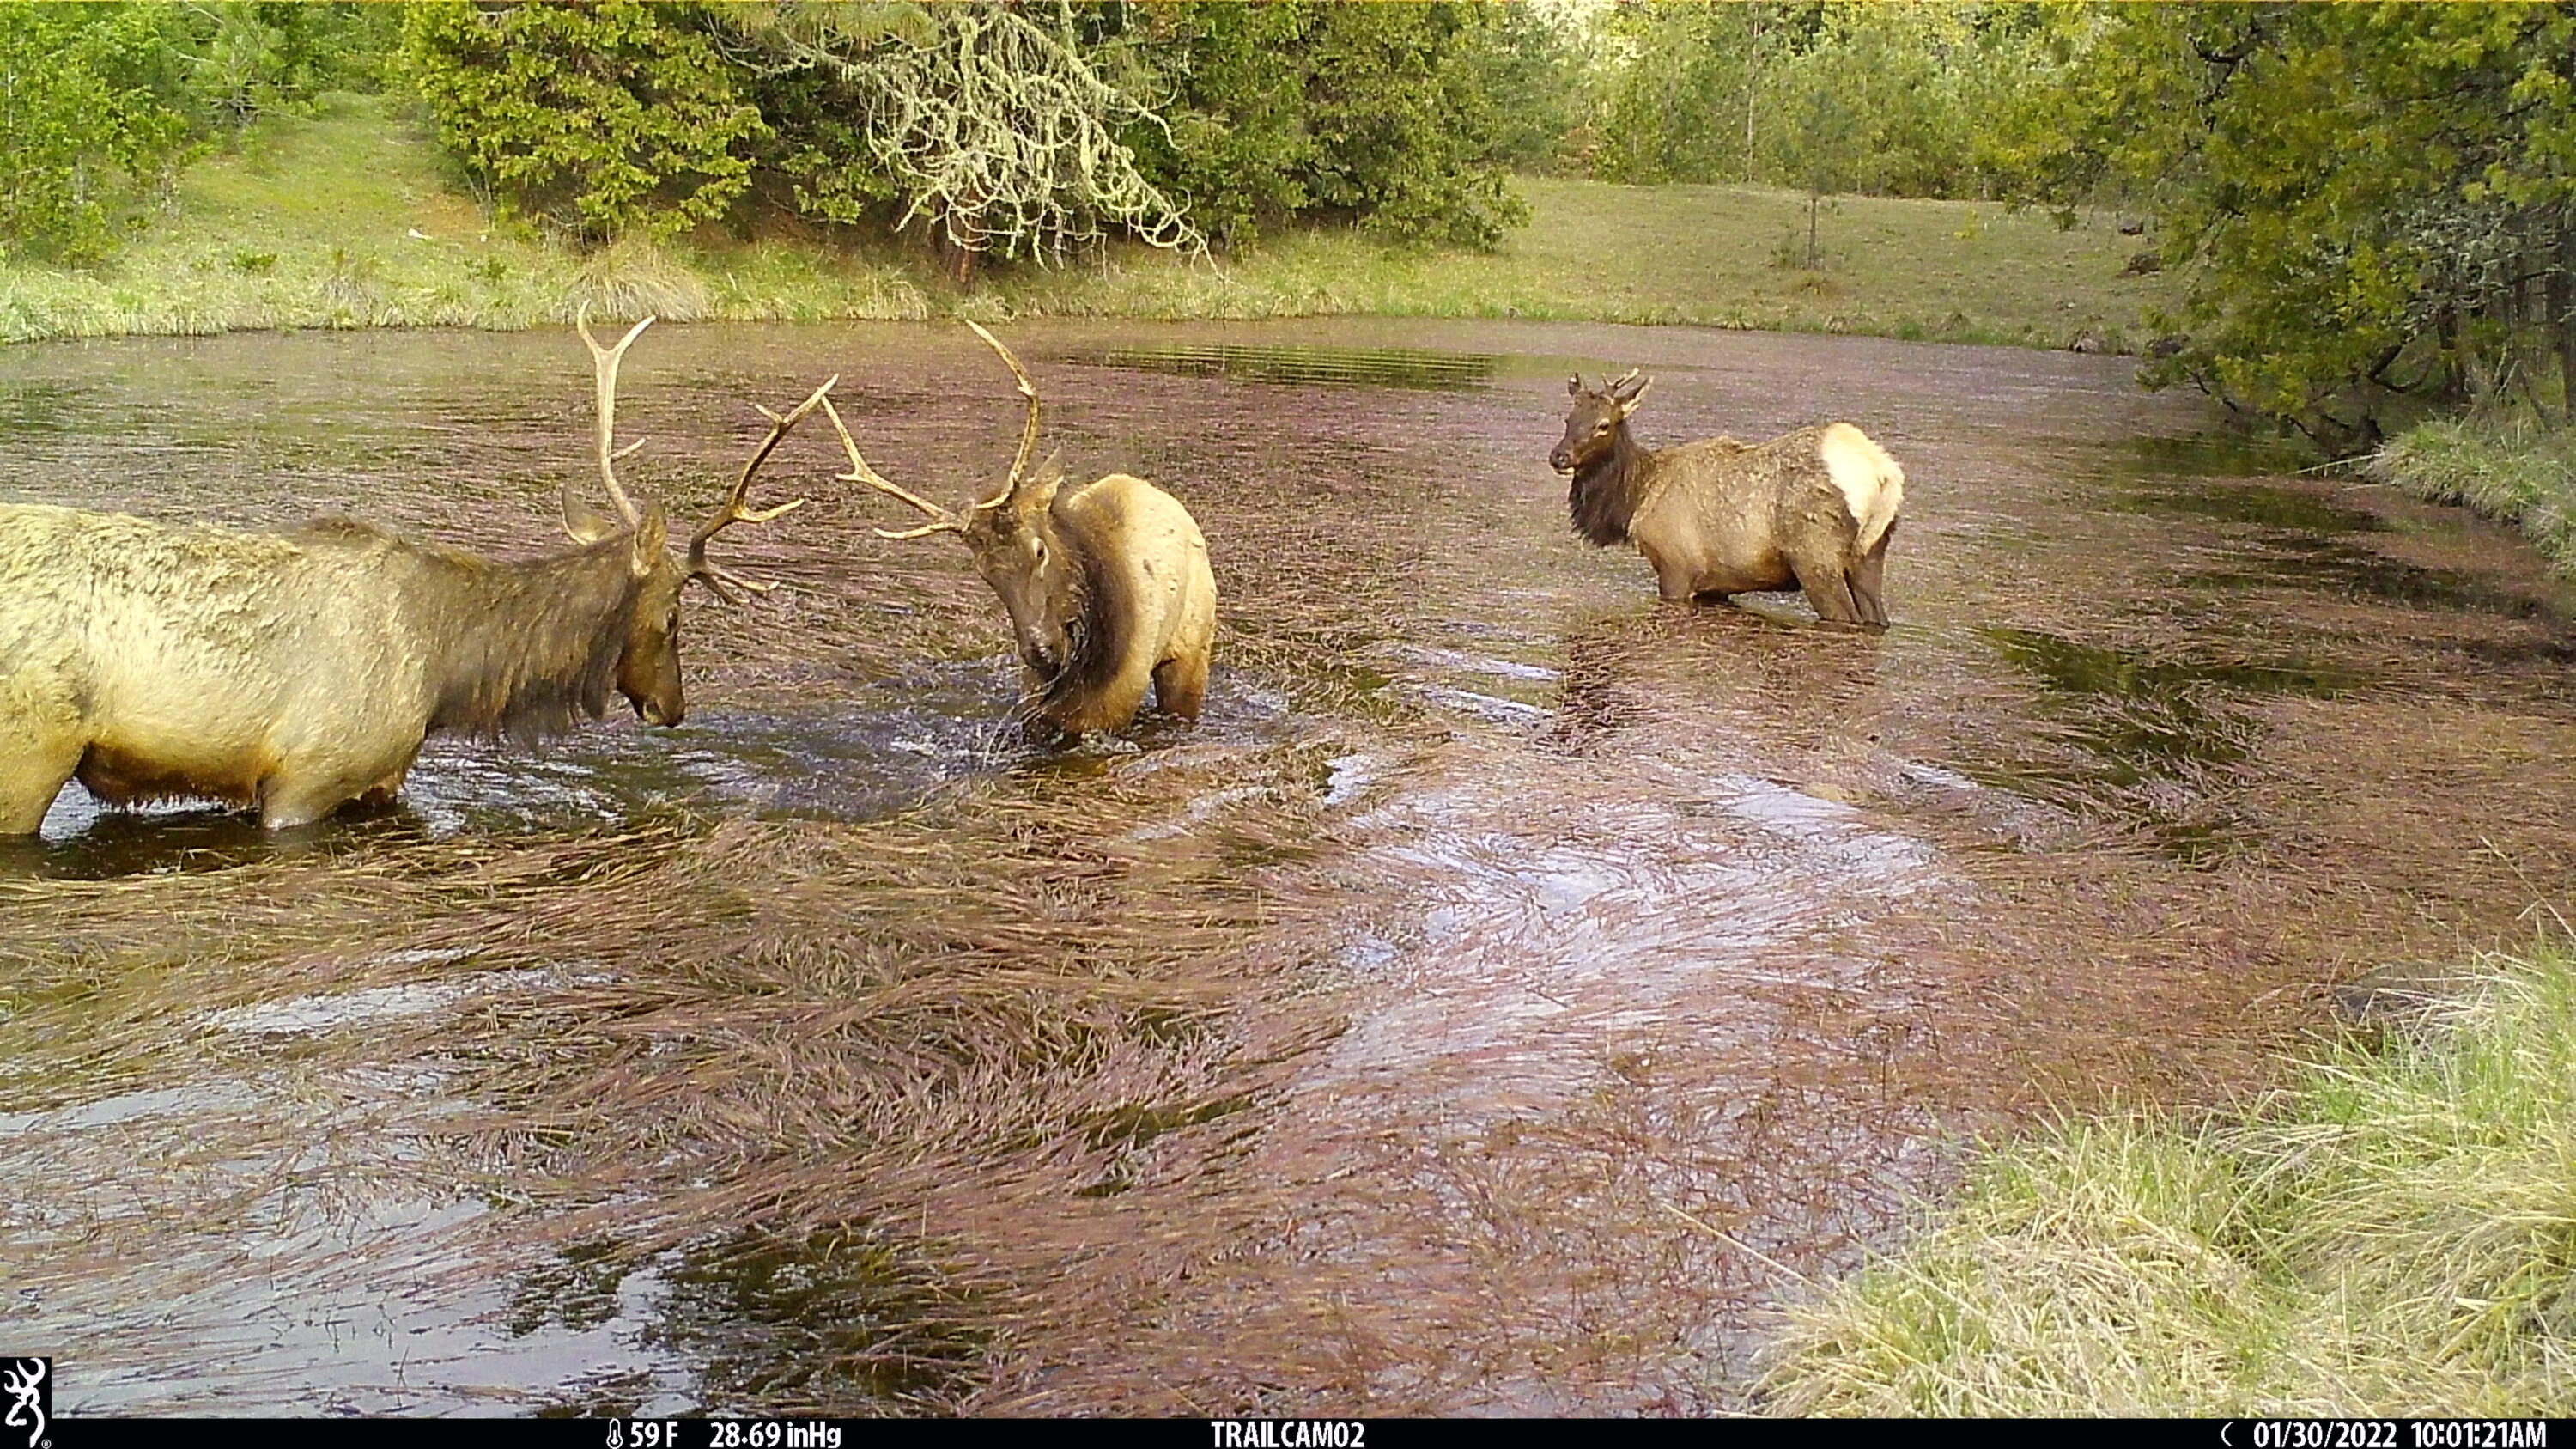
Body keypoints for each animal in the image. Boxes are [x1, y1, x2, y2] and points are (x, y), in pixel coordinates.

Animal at [0, 308, 831, 834]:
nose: (674, 707)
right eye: (674, 618)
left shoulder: (383, 779)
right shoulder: (307, 777)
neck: (447, 672)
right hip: (30, 748)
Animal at [825, 321, 1217, 738]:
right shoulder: (1034, 702)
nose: (1040, 651)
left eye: (1040, 550)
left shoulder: (1116, 701)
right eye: (984, 572)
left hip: (1192, 647)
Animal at [1550, 370, 1905, 628]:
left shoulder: (1676, 566)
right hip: (1870, 555)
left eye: (1603, 425)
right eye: (1568, 419)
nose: (1559, 456)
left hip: (1816, 557)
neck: (1637, 496)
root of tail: (1884, 473)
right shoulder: (1718, 583)